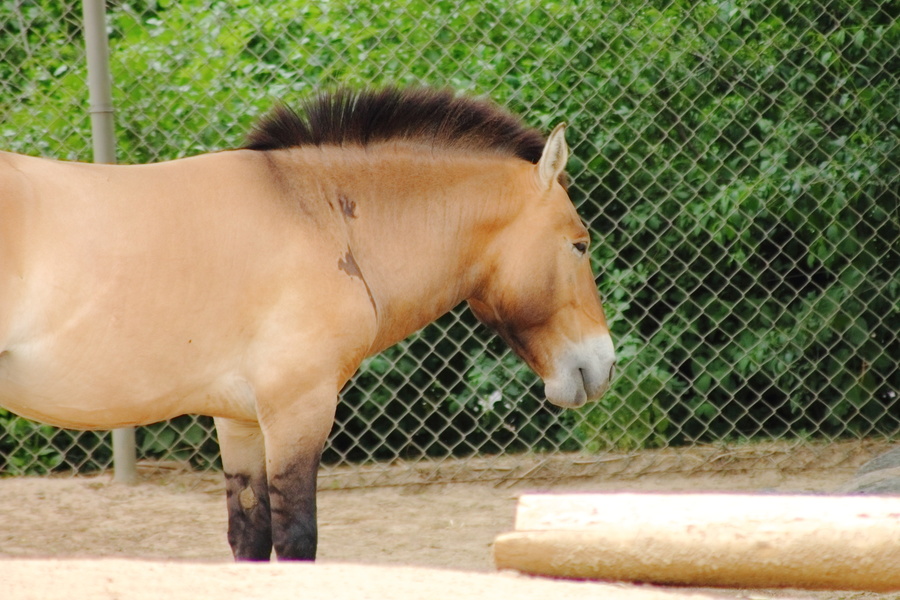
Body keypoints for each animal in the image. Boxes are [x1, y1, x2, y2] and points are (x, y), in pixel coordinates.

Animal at [0, 87, 616, 561]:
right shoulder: (299, 409)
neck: (320, 217)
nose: (604, 363)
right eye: (580, 244)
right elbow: (298, 540)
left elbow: (249, 537)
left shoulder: (240, 422)